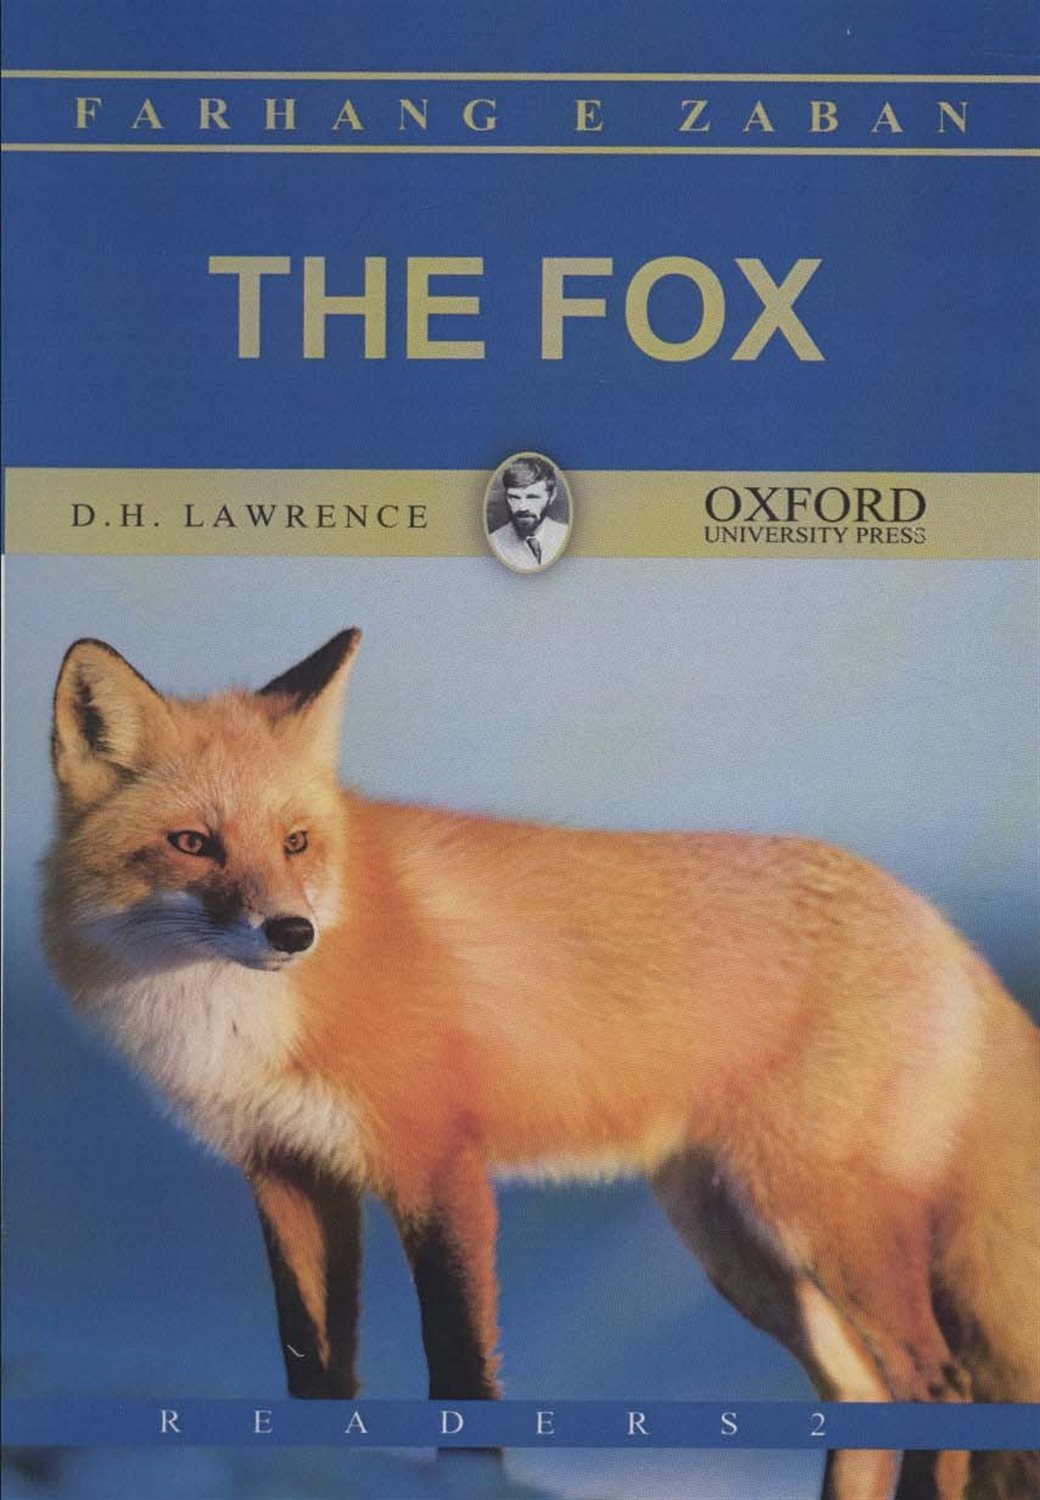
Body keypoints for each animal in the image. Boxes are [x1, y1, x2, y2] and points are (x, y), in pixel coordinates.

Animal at [44, 630, 1038, 1500]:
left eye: (294, 842)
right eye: (192, 843)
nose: (293, 931)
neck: (248, 1020)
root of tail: (937, 922)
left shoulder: (439, 1166)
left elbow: (461, 1374)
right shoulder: (290, 1174)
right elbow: (313, 1374)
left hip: (817, 1218)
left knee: (940, 1386)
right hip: (735, 1243)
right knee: (861, 1394)